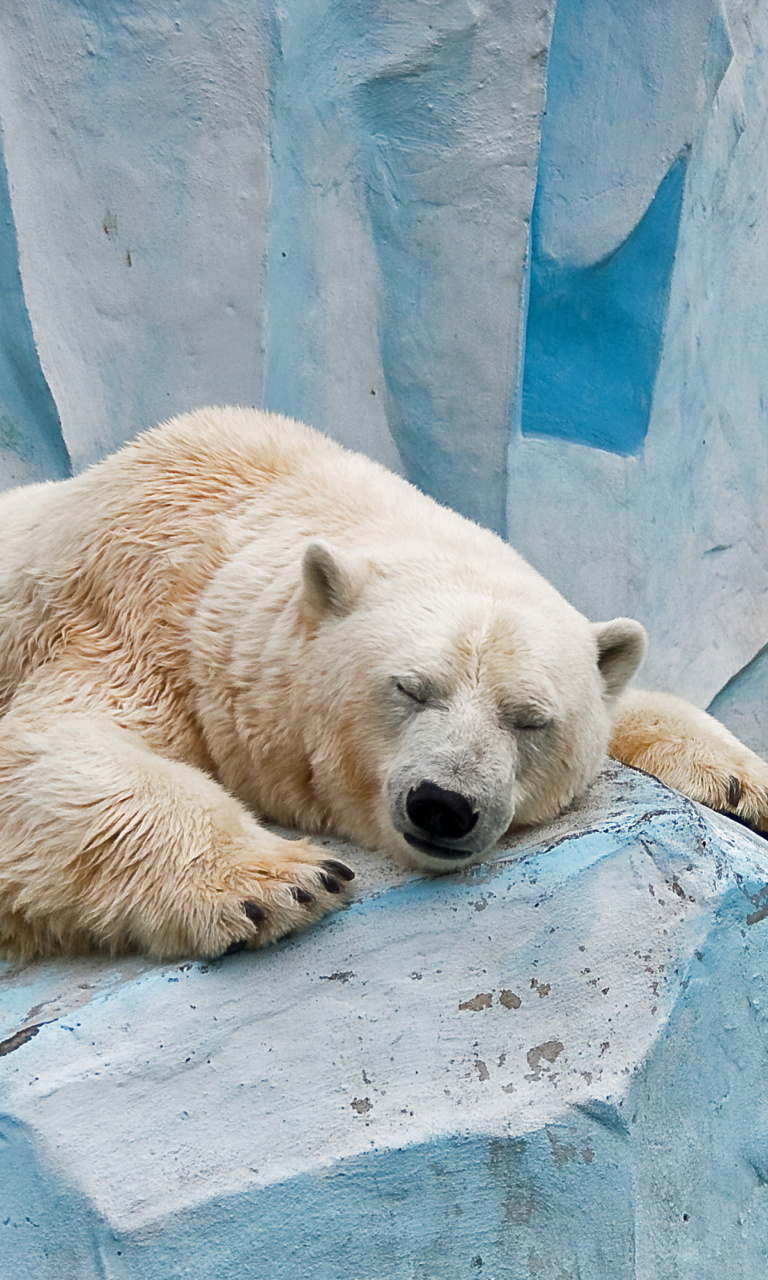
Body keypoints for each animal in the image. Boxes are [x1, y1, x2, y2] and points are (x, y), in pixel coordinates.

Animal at [1, 404, 768, 957]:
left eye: (528, 718)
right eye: (410, 688)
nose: (444, 805)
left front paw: (743, 784)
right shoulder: (123, 613)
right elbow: (43, 752)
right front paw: (285, 881)